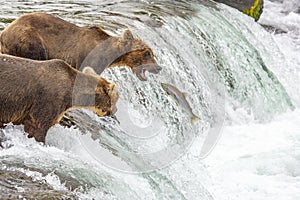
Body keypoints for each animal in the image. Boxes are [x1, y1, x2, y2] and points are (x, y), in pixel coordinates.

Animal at [0, 12, 162, 80]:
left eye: (152, 53)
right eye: (147, 53)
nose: (158, 68)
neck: (109, 54)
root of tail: (4, 31)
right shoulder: (87, 57)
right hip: (30, 39)